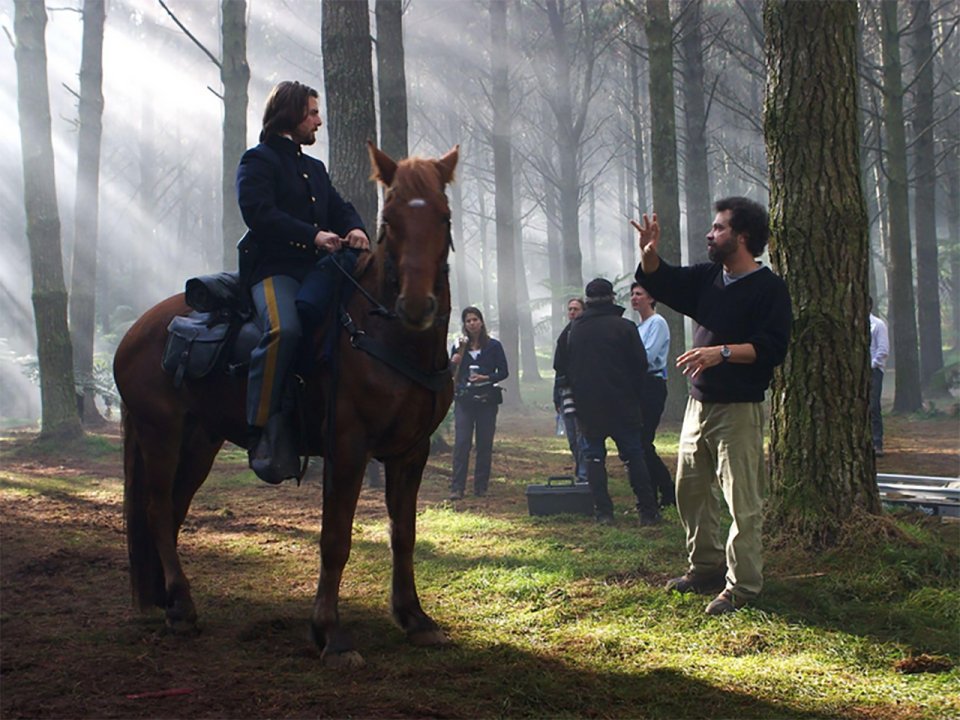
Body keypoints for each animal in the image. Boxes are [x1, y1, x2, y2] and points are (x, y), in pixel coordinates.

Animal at [116, 143, 462, 668]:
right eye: (390, 221)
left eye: (443, 217)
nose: (417, 305)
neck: (383, 334)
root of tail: (135, 331)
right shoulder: (347, 448)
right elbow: (335, 539)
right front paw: (330, 634)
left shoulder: (411, 452)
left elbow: (403, 534)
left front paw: (415, 618)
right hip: (161, 435)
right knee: (157, 509)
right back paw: (182, 606)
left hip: (200, 441)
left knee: (174, 508)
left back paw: (172, 603)